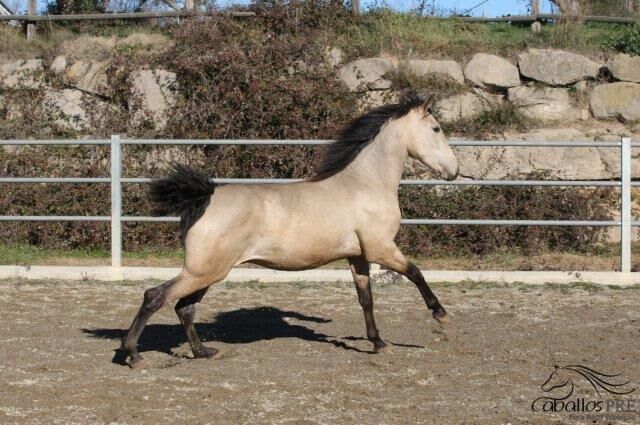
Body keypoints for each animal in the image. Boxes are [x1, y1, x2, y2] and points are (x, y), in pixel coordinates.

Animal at [121, 93, 460, 368]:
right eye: (436, 129)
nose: (454, 171)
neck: (366, 184)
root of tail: (206, 197)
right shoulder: (382, 248)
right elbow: (415, 272)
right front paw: (440, 314)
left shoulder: (359, 256)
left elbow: (366, 299)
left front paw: (377, 342)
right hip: (204, 270)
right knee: (156, 297)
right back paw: (133, 355)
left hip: (209, 271)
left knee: (185, 307)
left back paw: (203, 352)